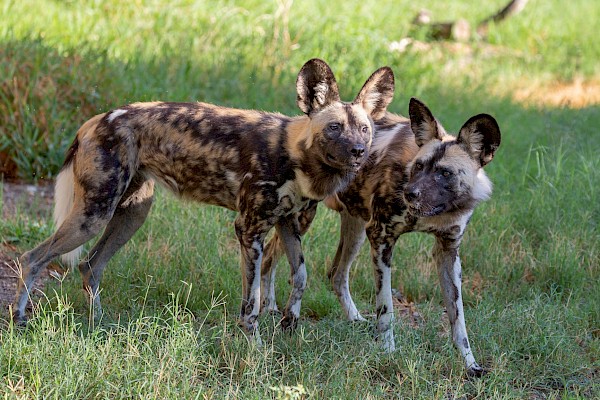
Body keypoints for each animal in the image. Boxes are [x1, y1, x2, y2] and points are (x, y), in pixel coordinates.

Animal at [11, 59, 396, 344]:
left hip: (132, 213)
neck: (296, 155)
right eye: (334, 128)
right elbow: (252, 301)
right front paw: (254, 345)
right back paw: (19, 320)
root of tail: (96, 119)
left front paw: (290, 324)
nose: (359, 152)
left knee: (90, 266)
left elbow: (300, 276)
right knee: (32, 257)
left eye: (364, 129)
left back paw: (99, 326)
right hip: (94, 215)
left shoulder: (288, 223)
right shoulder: (248, 229)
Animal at [262, 97, 502, 376]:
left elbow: (458, 318)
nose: (410, 193)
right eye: (419, 166)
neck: (438, 214)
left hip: (355, 228)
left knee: (336, 275)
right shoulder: (381, 238)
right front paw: (387, 351)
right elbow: (386, 308)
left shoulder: (448, 252)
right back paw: (268, 307)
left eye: (445, 173)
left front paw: (469, 363)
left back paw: (354, 318)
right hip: (303, 219)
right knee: (269, 256)